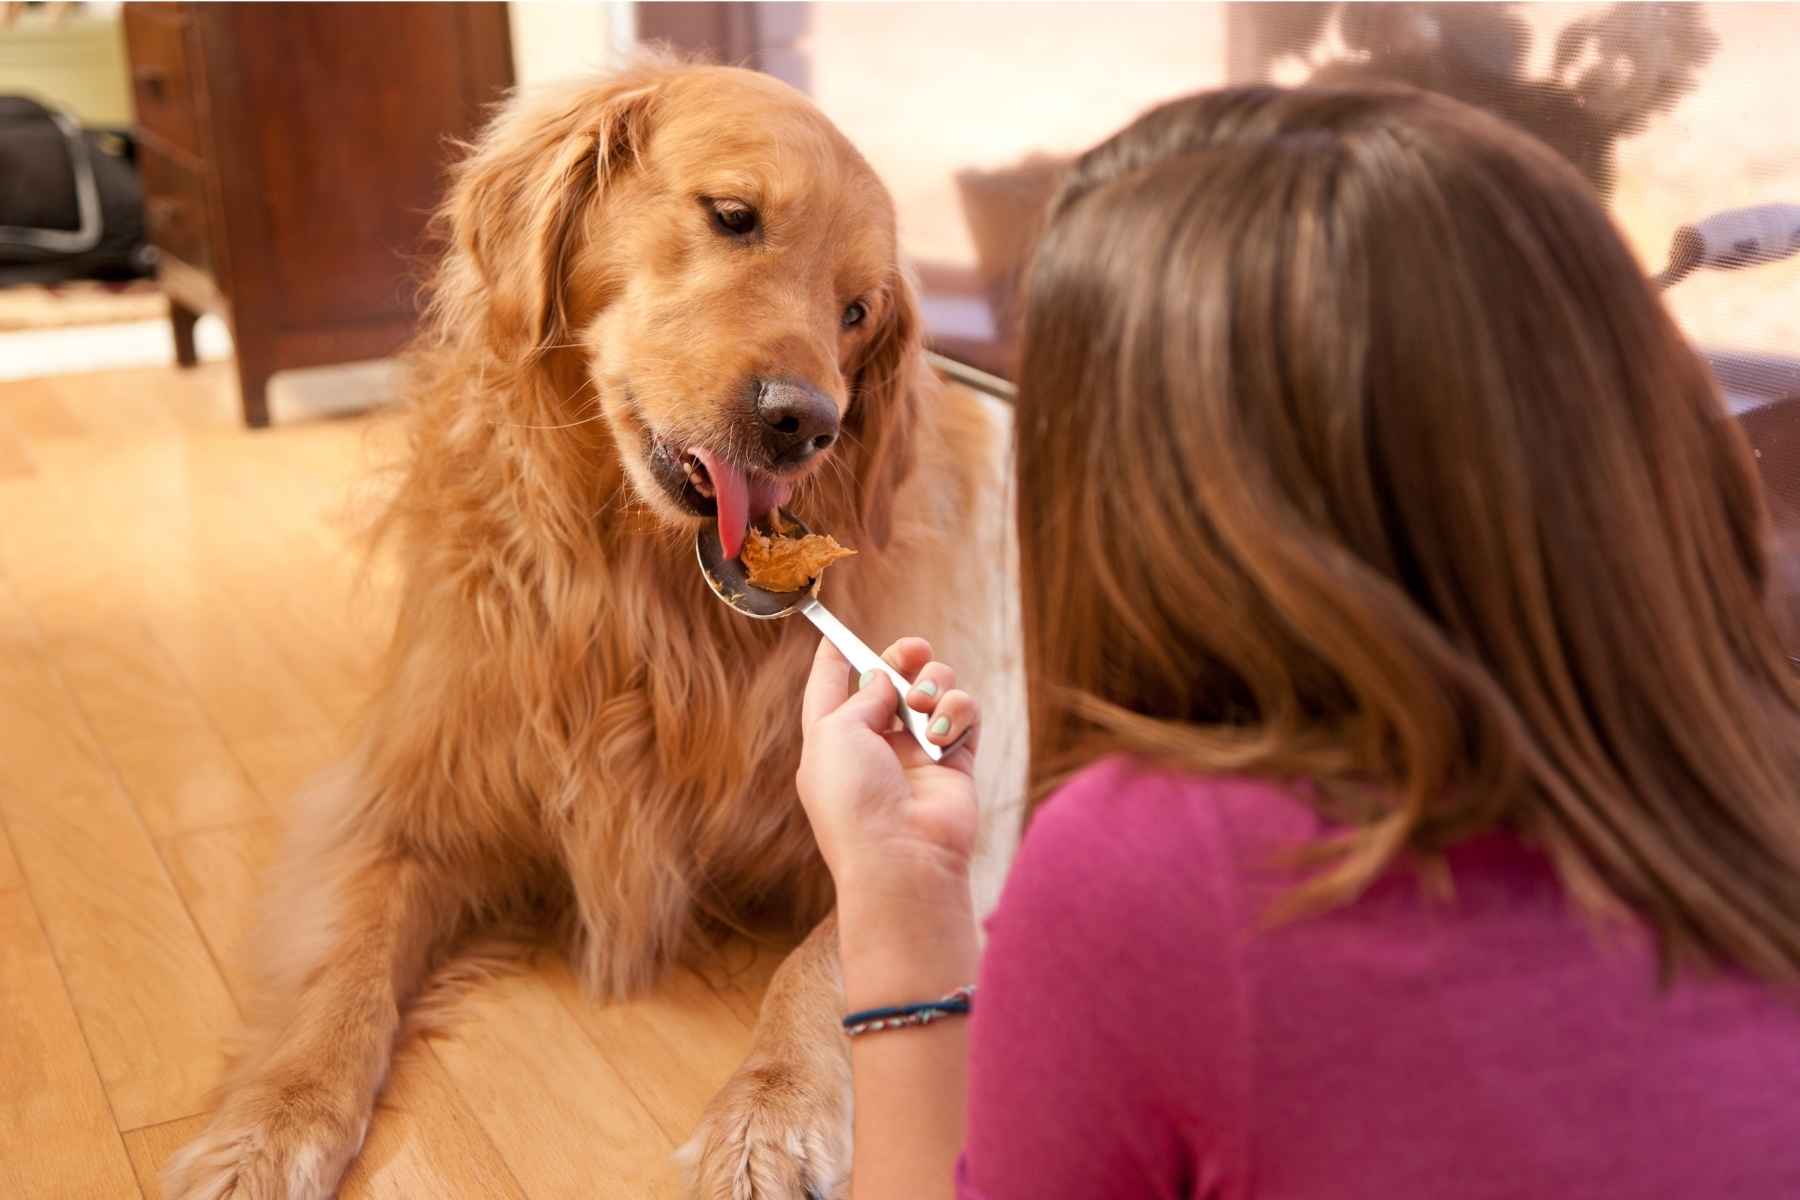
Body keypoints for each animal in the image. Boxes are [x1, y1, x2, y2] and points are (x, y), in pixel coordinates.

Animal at [162, 58, 1022, 1200]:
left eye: (857, 313)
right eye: (733, 215)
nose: (806, 422)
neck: (638, 594)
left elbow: (822, 961)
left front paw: (771, 1116)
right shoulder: (401, 806)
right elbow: (339, 966)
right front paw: (268, 1125)